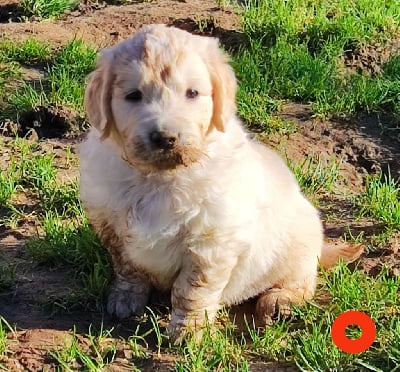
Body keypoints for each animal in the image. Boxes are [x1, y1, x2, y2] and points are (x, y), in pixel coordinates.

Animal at [79, 24, 360, 342]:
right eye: (133, 95)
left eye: (192, 93)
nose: (165, 138)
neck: (159, 177)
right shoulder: (111, 224)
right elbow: (127, 267)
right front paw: (124, 299)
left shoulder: (210, 242)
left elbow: (192, 290)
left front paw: (188, 333)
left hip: (299, 244)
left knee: (302, 282)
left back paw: (279, 302)